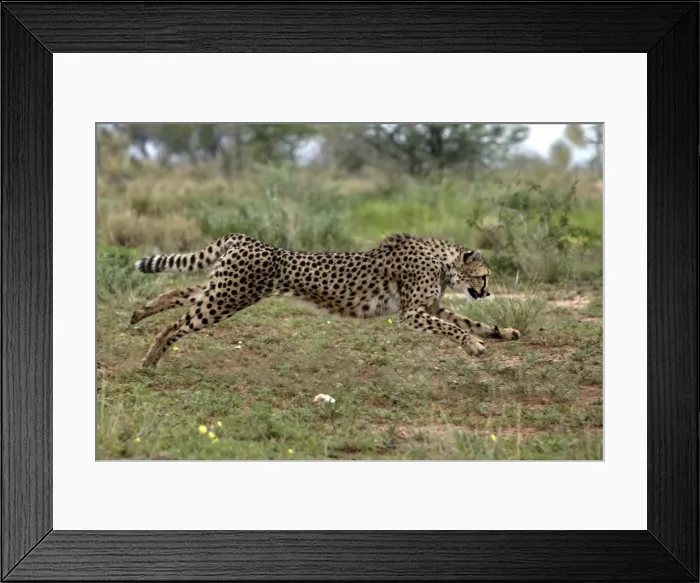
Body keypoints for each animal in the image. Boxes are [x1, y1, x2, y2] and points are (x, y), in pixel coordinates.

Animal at [130, 232, 521, 368]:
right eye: (484, 276)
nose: (486, 291)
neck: (442, 262)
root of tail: (247, 239)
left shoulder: (431, 307)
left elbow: (466, 321)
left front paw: (503, 332)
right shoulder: (412, 313)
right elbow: (452, 328)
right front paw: (472, 345)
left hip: (225, 290)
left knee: (181, 293)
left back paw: (140, 312)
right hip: (228, 298)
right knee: (175, 326)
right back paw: (149, 359)